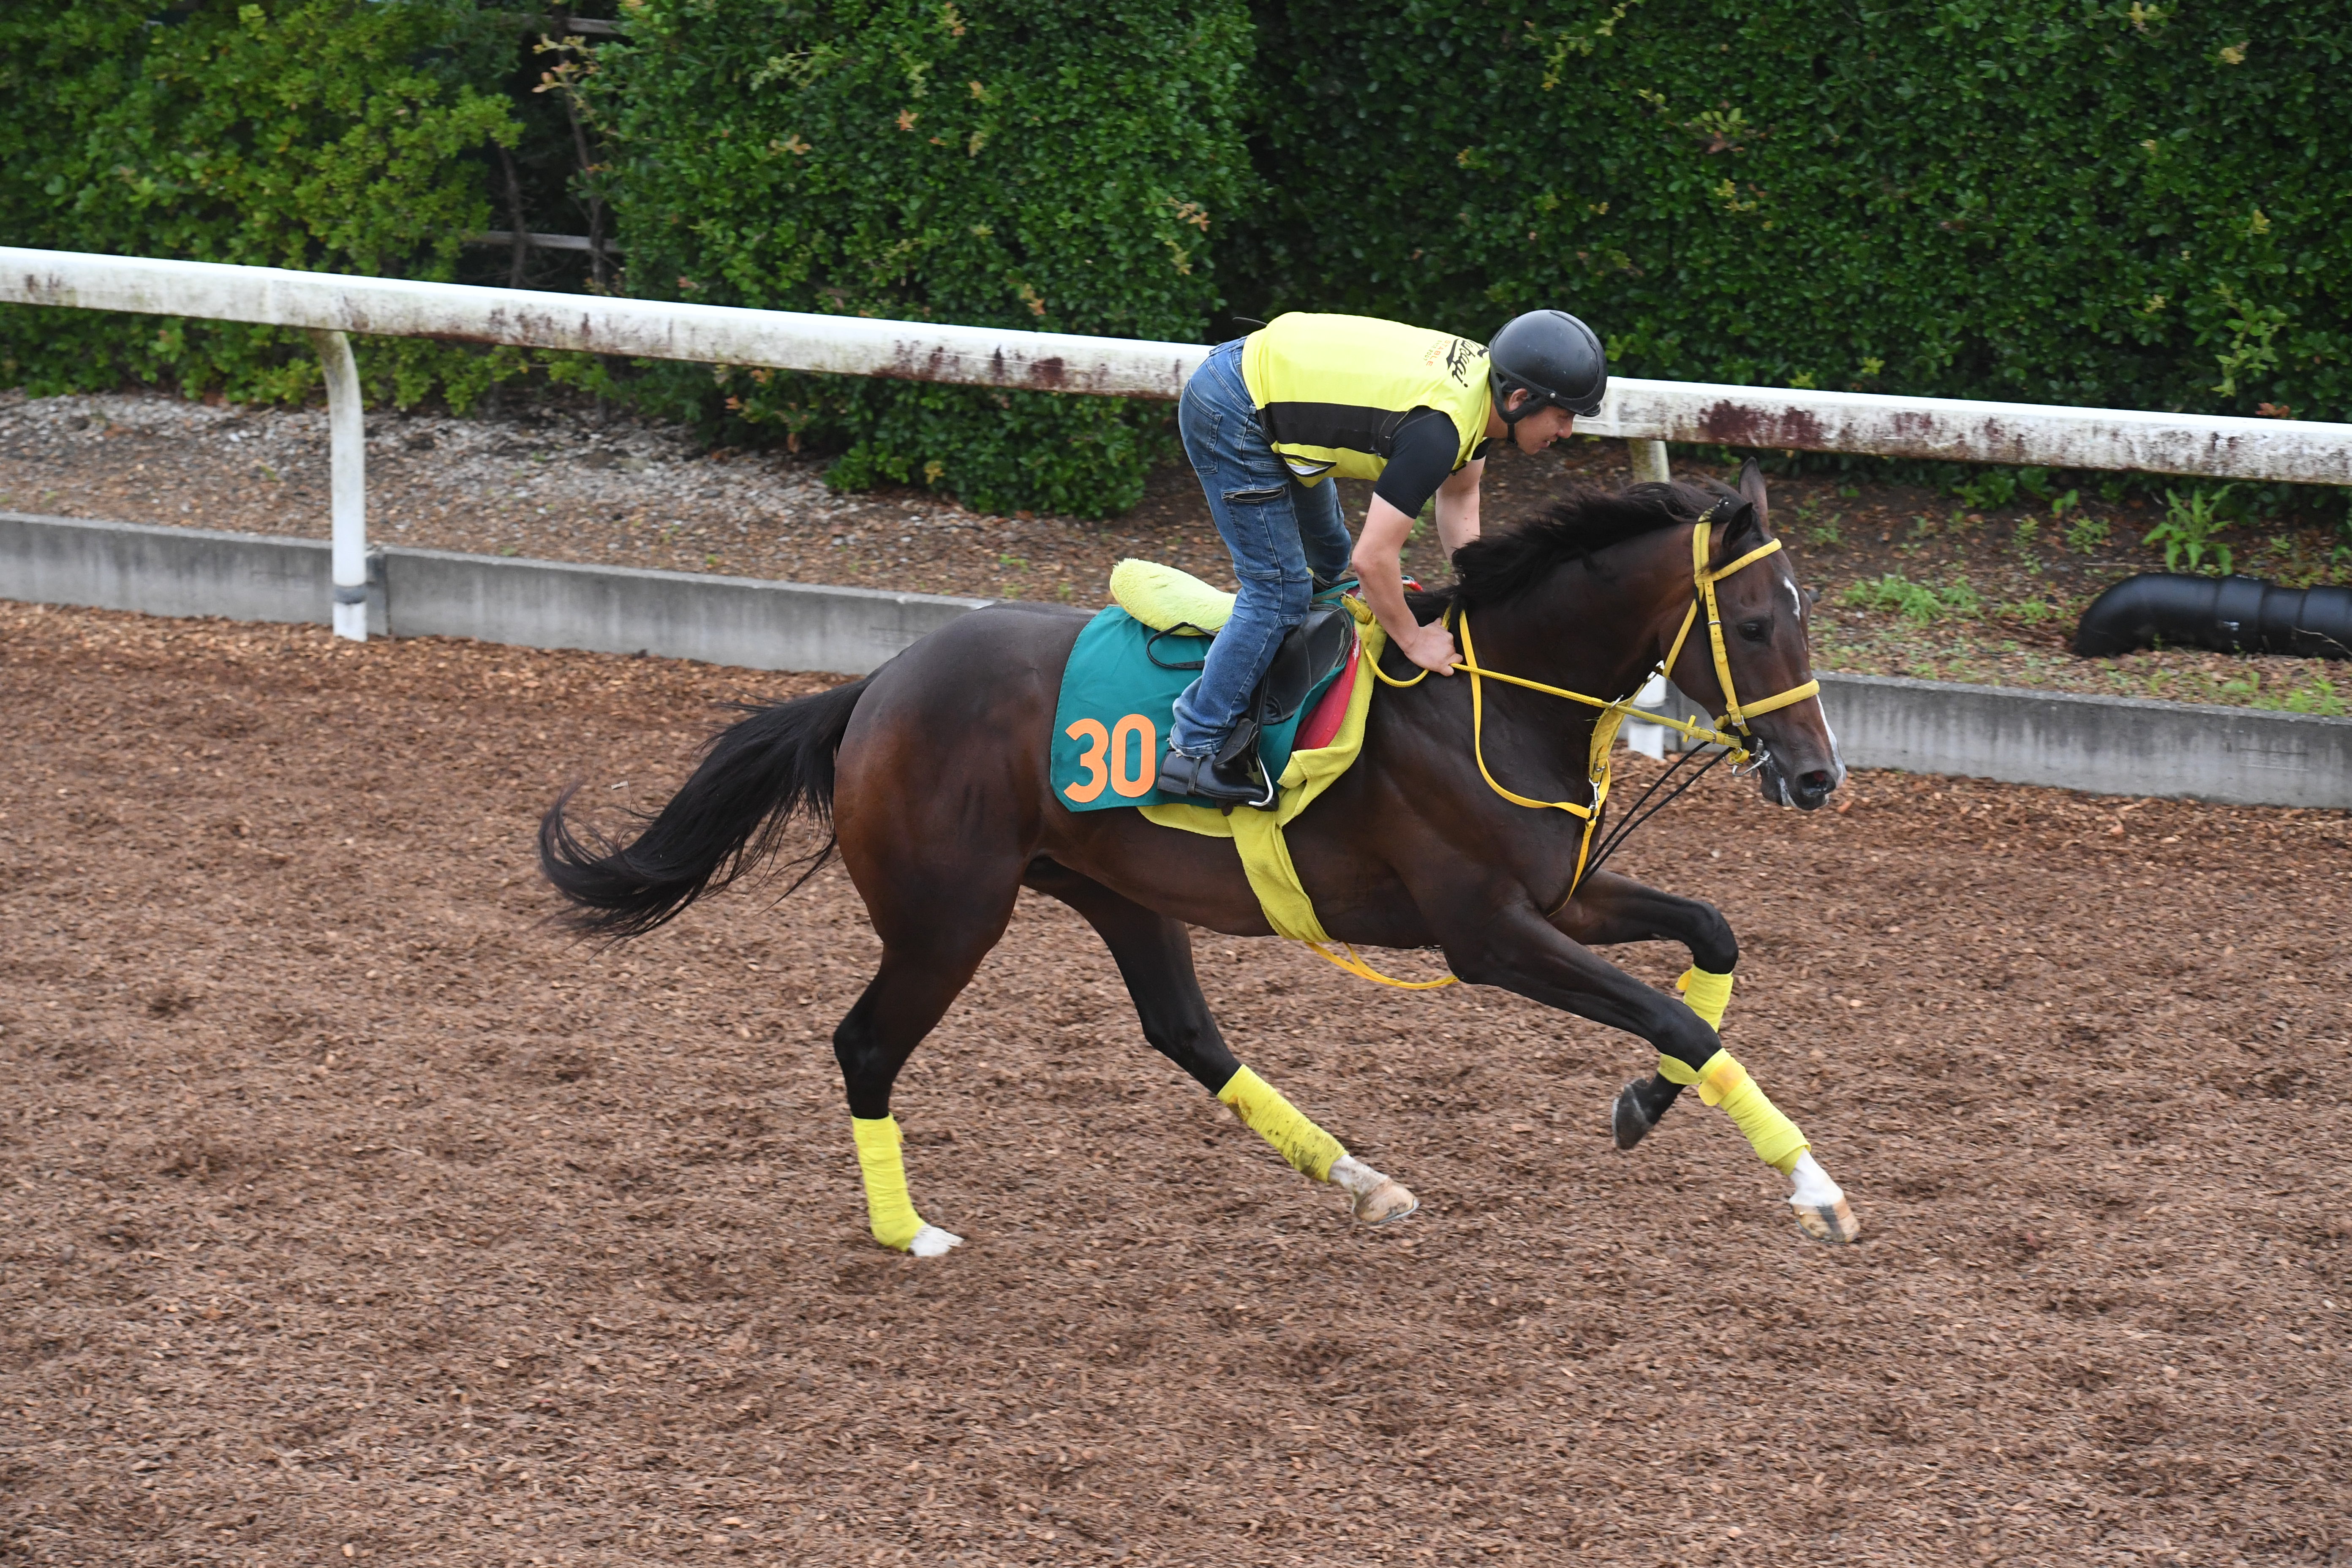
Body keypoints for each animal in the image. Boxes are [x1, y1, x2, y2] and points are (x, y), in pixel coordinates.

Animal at [538, 461, 1860, 1255]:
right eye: (1755, 624)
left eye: (1804, 619)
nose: (1816, 778)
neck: (1485, 699)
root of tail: (874, 689)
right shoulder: (1488, 936)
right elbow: (1676, 1012)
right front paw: (1813, 1187)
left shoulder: (1565, 899)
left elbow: (1710, 941)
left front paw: (1648, 1100)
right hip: (948, 918)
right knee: (865, 1045)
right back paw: (908, 1230)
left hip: (1119, 893)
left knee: (1184, 1033)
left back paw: (1360, 1178)